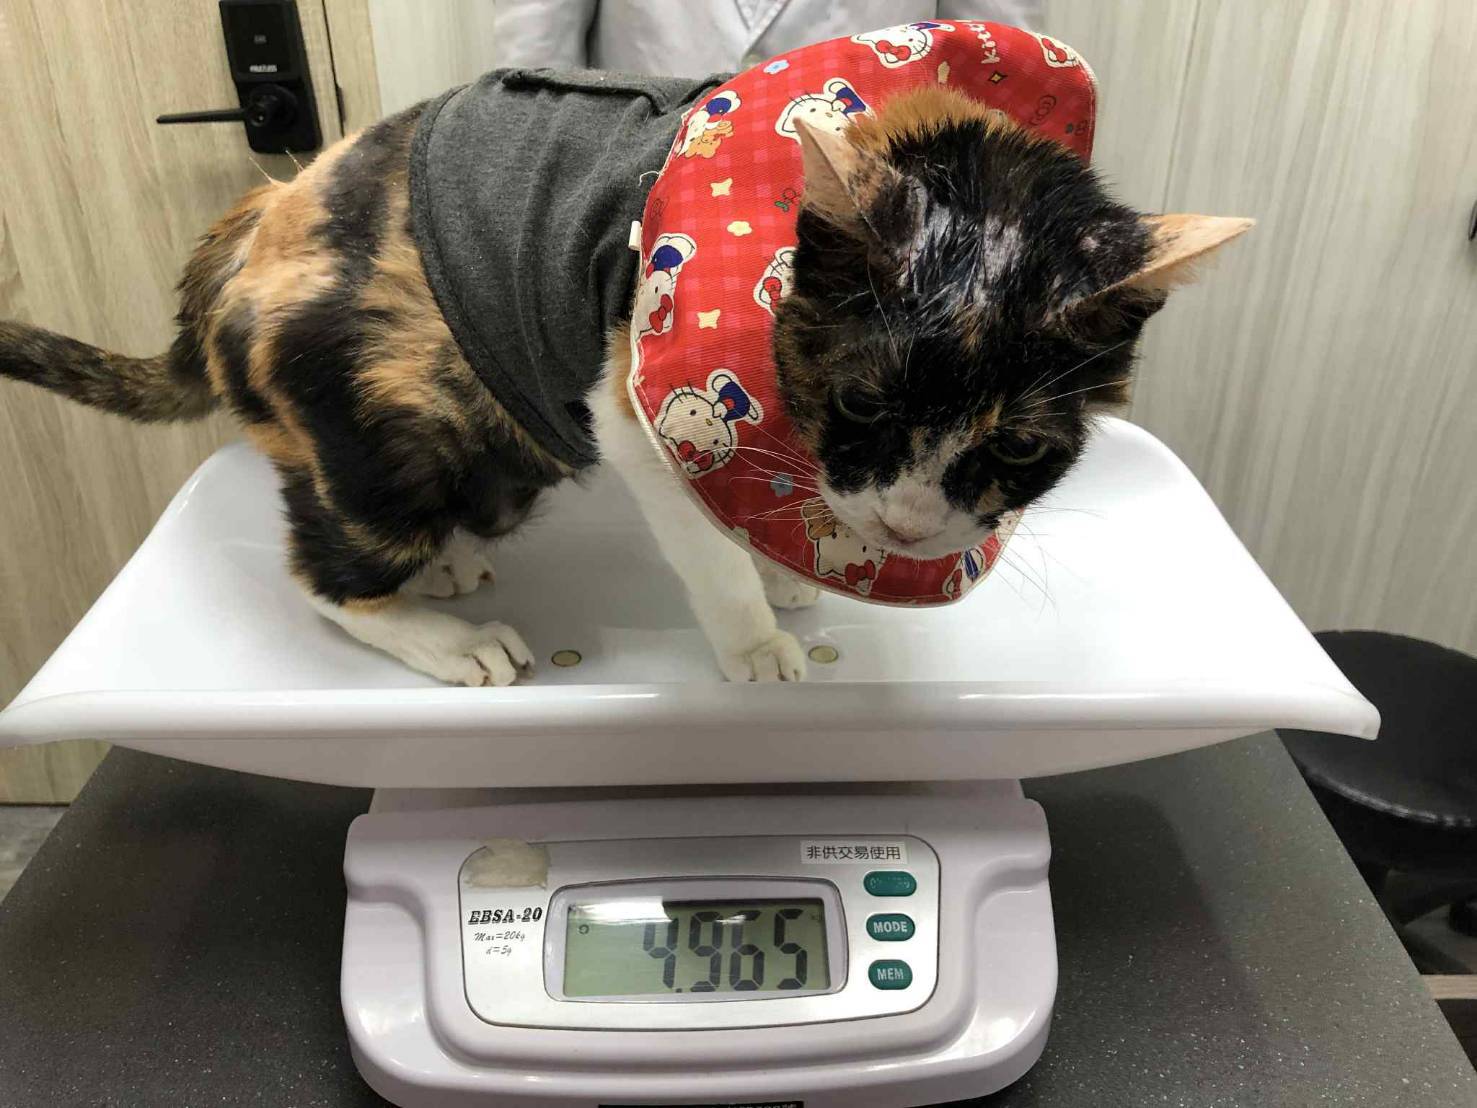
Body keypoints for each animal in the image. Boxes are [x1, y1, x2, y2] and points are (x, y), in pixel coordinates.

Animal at [0, 56, 1248, 687]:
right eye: (859, 399)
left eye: (1021, 447)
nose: (901, 526)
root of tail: (256, 222)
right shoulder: (631, 406)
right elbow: (704, 541)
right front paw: (757, 638)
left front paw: (792, 568)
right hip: (388, 414)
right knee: (322, 568)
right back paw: (439, 631)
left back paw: (446, 571)